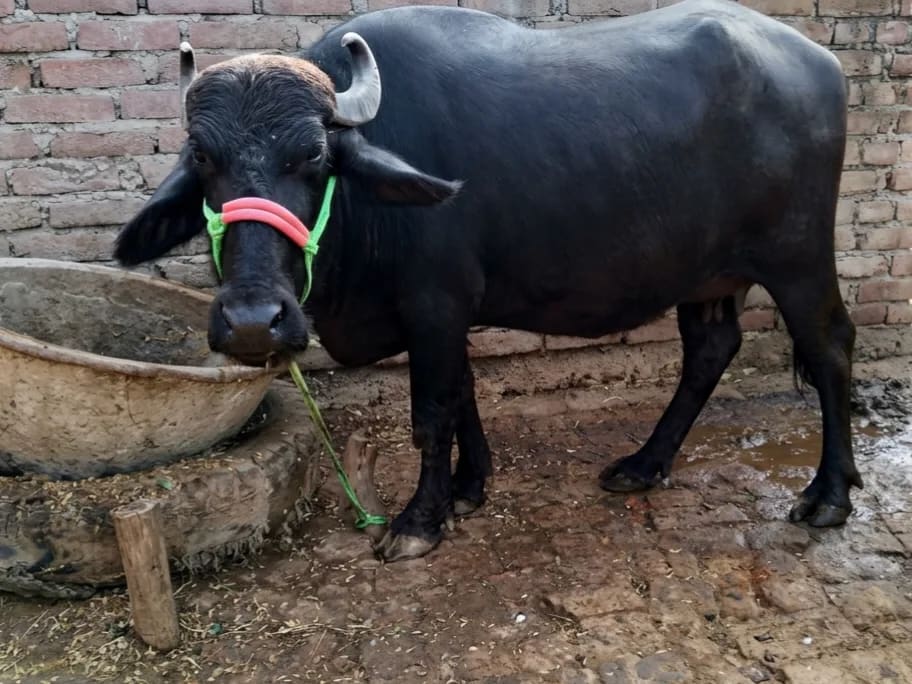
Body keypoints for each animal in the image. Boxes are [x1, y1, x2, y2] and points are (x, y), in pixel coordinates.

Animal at [115, 0, 858, 561]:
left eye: (315, 155)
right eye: (203, 158)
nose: (251, 322)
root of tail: (821, 62)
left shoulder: (435, 304)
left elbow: (431, 410)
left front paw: (420, 519)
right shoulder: (445, 314)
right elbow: (464, 391)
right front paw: (468, 486)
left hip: (797, 258)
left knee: (830, 348)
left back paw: (828, 495)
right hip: (707, 275)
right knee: (710, 351)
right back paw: (645, 464)